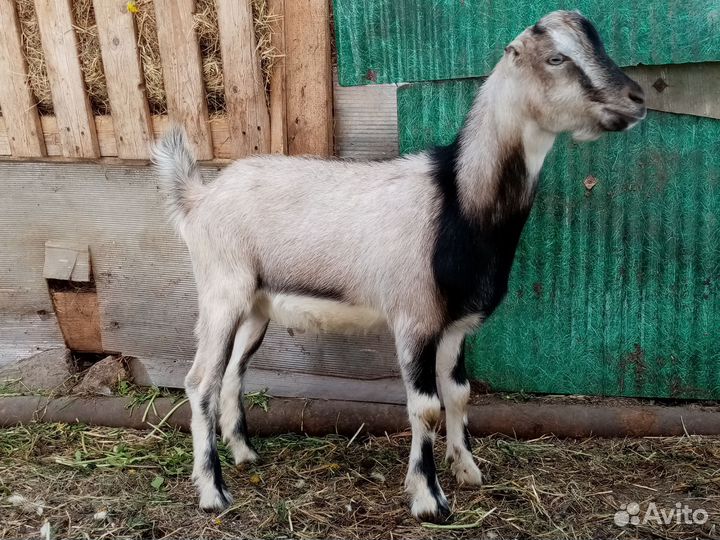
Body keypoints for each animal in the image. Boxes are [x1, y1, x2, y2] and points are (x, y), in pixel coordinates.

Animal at [153, 10, 646, 523]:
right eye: (556, 58)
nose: (636, 99)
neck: (457, 199)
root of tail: (198, 199)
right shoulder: (414, 319)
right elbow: (425, 406)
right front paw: (429, 498)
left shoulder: (454, 325)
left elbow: (459, 394)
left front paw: (467, 470)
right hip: (221, 292)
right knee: (200, 382)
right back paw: (213, 491)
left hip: (255, 306)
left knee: (232, 373)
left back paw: (246, 454)